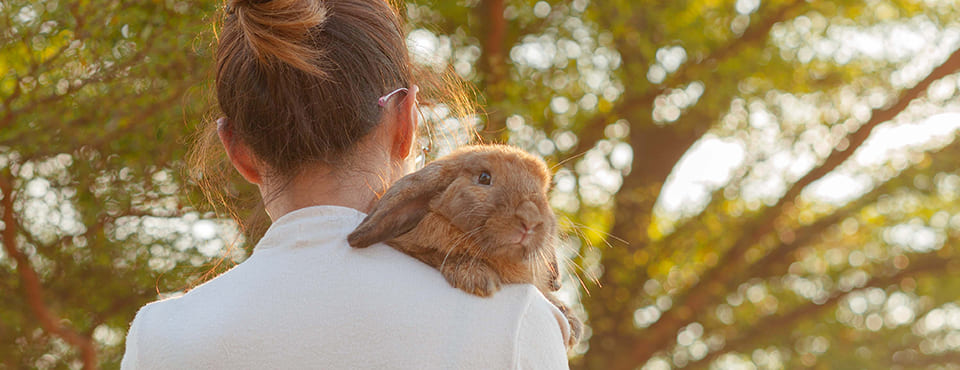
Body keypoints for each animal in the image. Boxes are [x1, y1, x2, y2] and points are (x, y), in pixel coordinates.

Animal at [348, 145, 580, 350]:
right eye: (484, 178)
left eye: (543, 192)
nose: (530, 219)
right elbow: (433, 253)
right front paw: (477, 278)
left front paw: (572, 321)